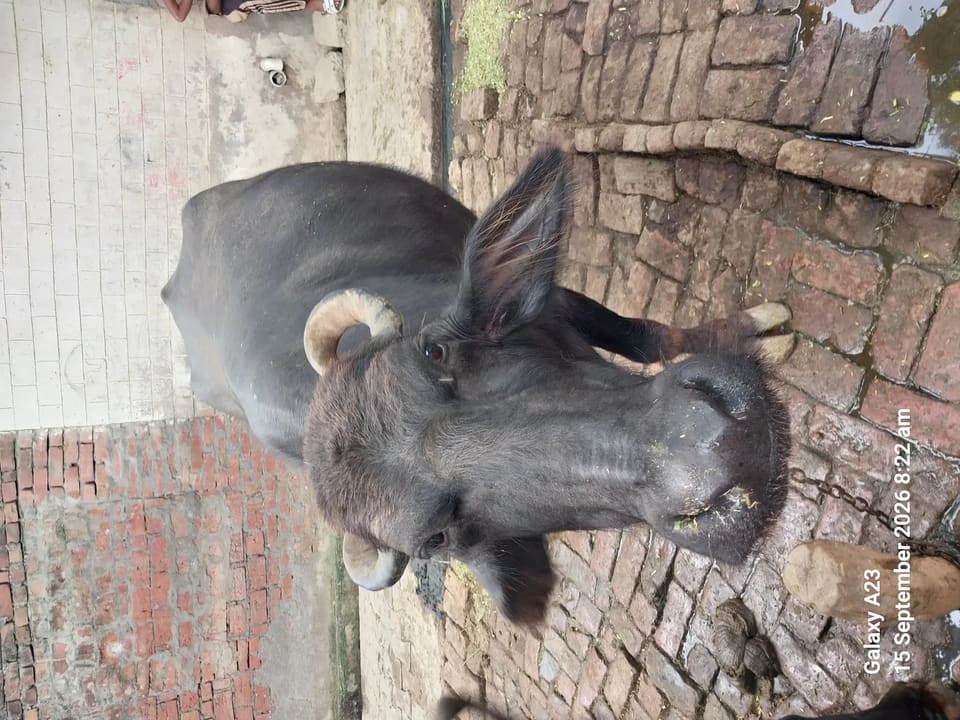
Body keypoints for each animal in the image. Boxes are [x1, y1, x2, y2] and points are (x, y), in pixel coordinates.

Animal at [163, 147, 794, 624]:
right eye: (438, 539)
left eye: (435, 352)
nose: (706, 450)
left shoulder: (559, 304)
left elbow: (646, 337)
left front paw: (764, 323)